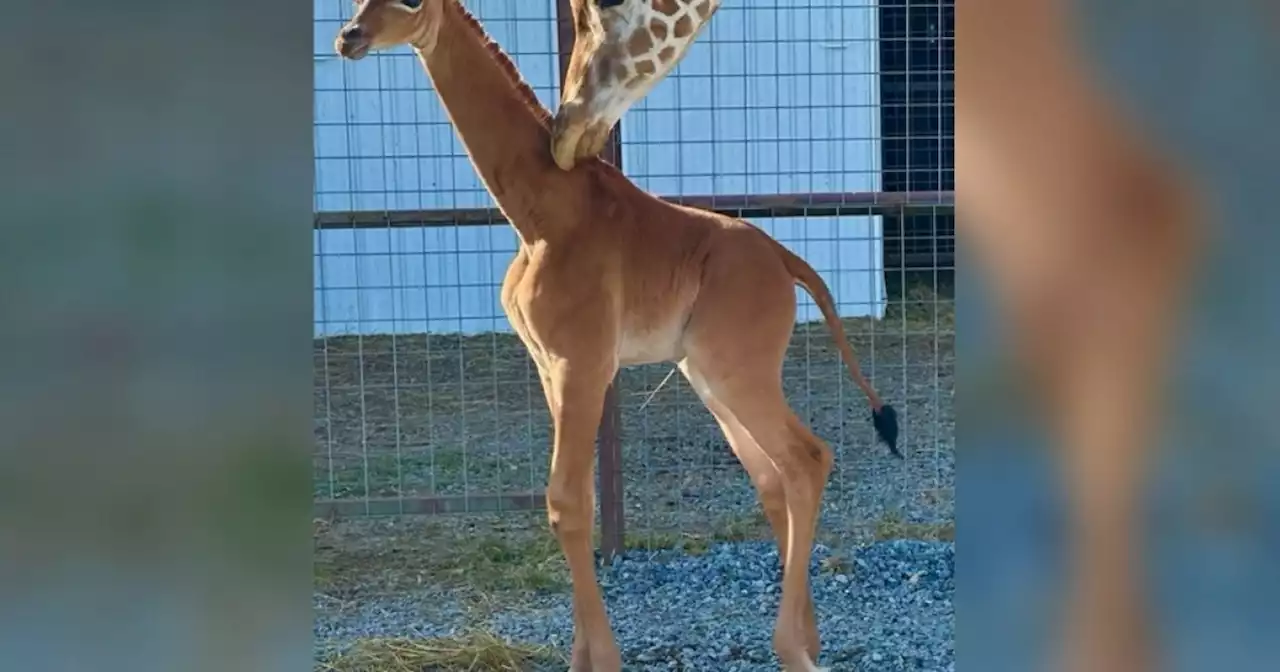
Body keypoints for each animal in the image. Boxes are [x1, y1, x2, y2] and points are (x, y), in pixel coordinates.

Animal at [335, 2, 896, 665]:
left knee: (806, 459)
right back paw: (810, 637)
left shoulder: (582, 362)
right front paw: (582, 654)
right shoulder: (549, 365)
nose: (349, 38)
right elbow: (577, 499)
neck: (539, 214)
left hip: (738, 368)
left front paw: (601, 659)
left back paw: (792, 648)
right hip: (708, 375)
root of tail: (788, 262)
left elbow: (566, 502)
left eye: (412, 5)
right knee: (772, 475)